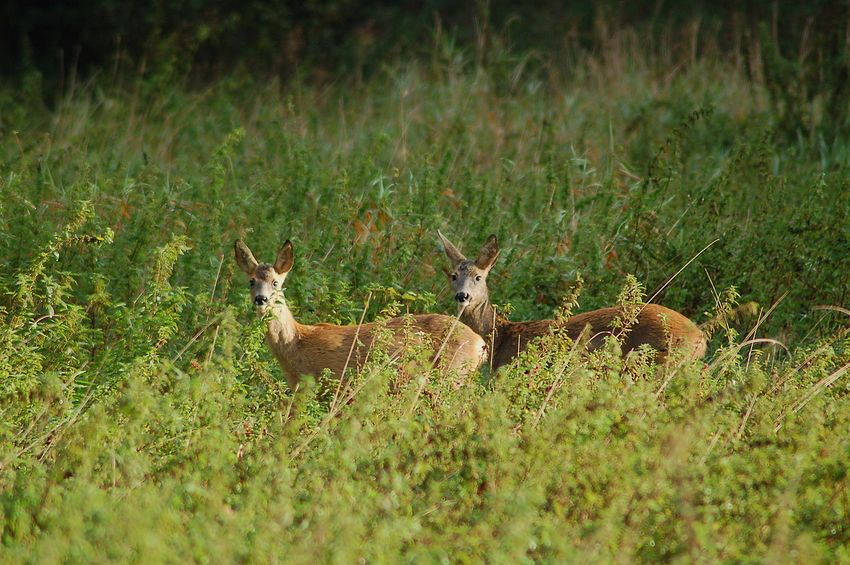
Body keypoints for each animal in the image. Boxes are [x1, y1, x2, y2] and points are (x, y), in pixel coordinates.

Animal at [234, 238, 484, 388]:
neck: (297, 343)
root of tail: (480, 343)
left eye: (276, 282)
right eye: (251, 281)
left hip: (452, 374)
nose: (261, 299)